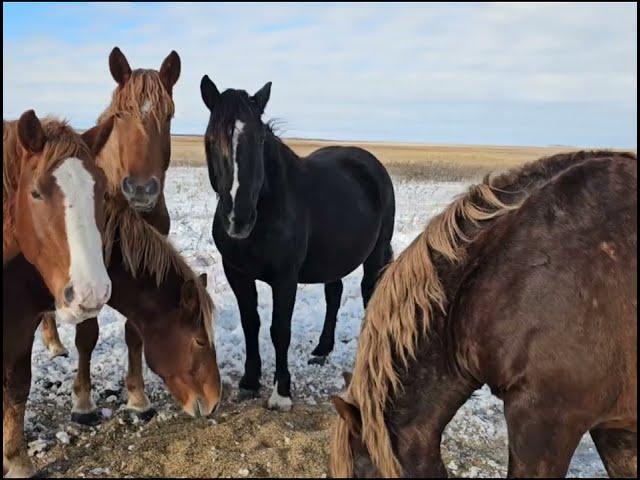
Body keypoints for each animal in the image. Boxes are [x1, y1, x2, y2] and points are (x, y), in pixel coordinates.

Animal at [200, 75, 396, 408]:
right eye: (211, 140)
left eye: (260, 140)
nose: (238, 218)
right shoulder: (236, 272)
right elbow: (250, 322)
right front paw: (250, 380)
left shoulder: (285, 278)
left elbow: (279, 329)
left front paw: (281, 392)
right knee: (334, 293)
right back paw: (322, 349)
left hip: (377, 253)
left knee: (369, 292)